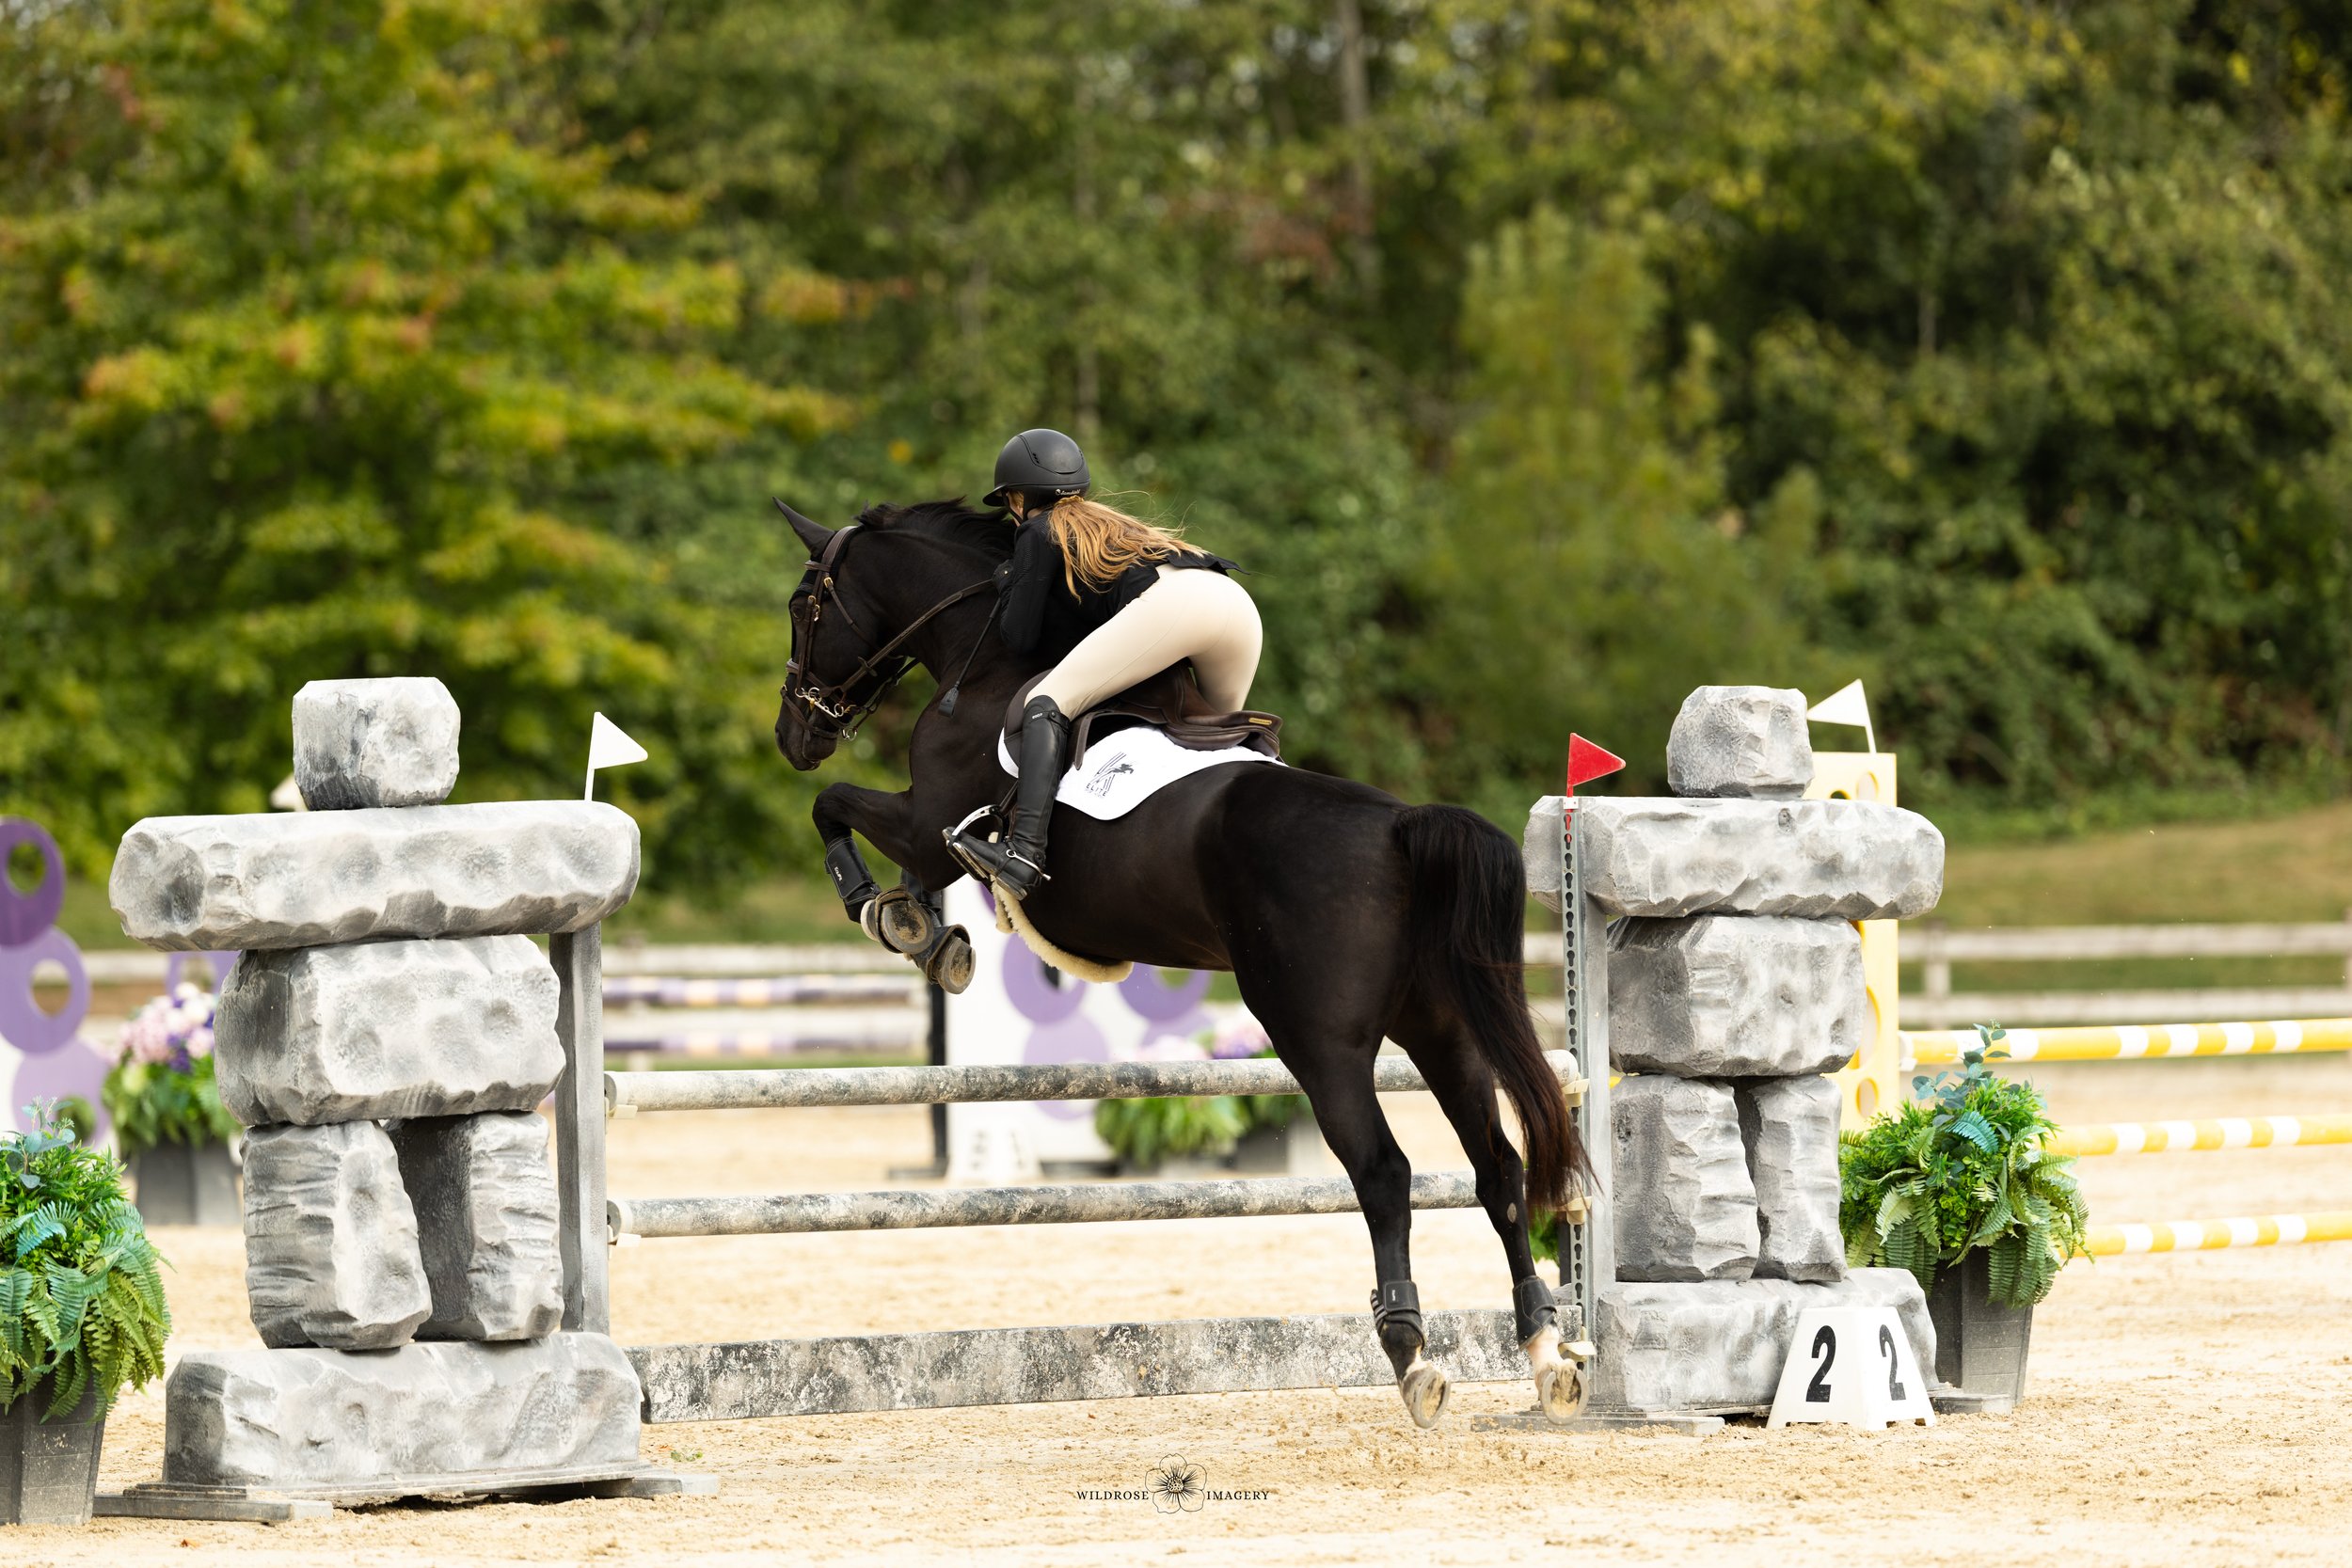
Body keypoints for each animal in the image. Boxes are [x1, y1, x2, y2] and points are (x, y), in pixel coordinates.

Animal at [771, 497, 1588, 1427]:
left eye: (803, 607)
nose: (793, 734)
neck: (985, 658)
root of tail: (1399, 826)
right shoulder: (931, 838)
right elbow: (892, 860)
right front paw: (929, 934)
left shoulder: (925, 820)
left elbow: (834, 807)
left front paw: (885, 911)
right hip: (1442, 1031)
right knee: (1499, 1169)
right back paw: (1546, 1352)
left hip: (1318, 1039)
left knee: (1384, 1171)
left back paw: (1412, 1355)